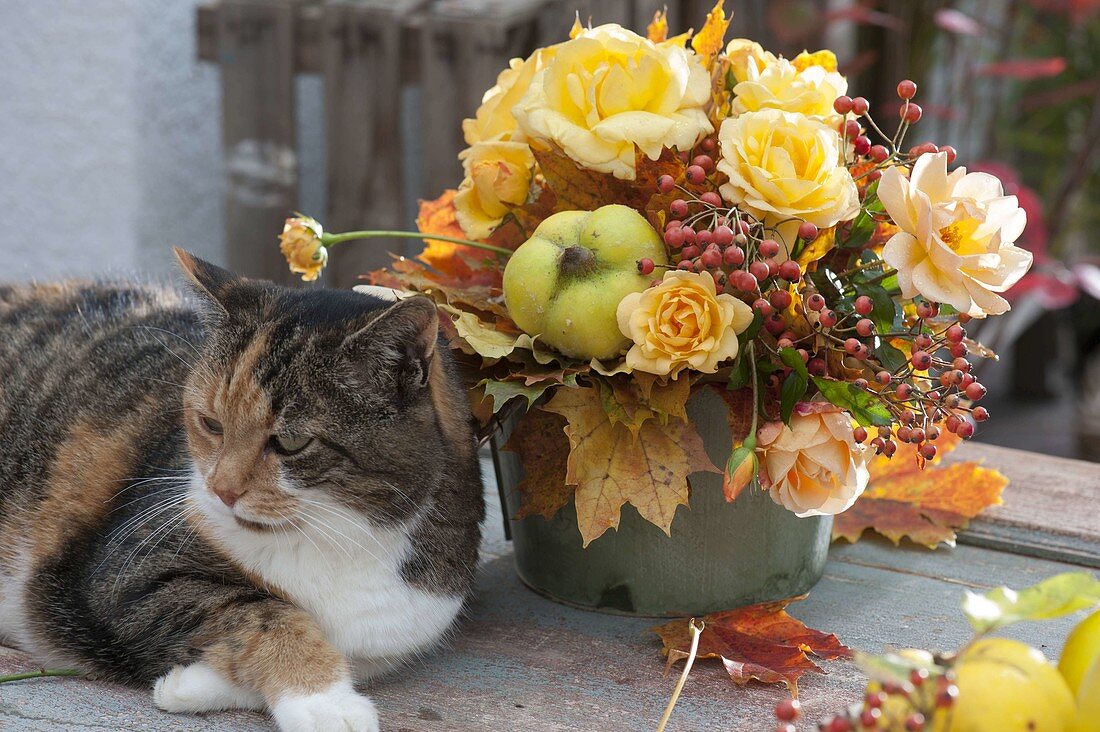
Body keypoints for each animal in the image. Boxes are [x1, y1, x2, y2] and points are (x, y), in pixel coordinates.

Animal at [0, 248, 486, 726]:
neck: (334, 534)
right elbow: (262, 612)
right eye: (211, 424)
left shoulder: (397, 630)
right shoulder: (124, 576)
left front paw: (187, 683)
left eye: (291, 442)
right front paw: (325, 704)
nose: (222, 490)